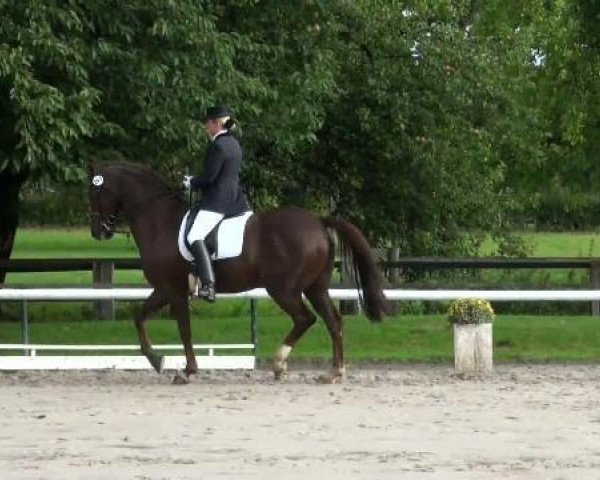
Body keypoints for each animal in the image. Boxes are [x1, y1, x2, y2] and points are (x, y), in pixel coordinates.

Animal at [88, 162, 386, 382]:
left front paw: (186, 370)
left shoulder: (172, 288)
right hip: (315, 288)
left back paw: (279, 364)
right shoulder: (165, 289)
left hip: (284, 289)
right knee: (333, 321)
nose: (98, 232)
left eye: (95, 192)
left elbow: (183, 329)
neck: (160, 220)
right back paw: (334, 372)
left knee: (305, 319)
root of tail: (318, 221)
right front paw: (156, 359)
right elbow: (140, 317)